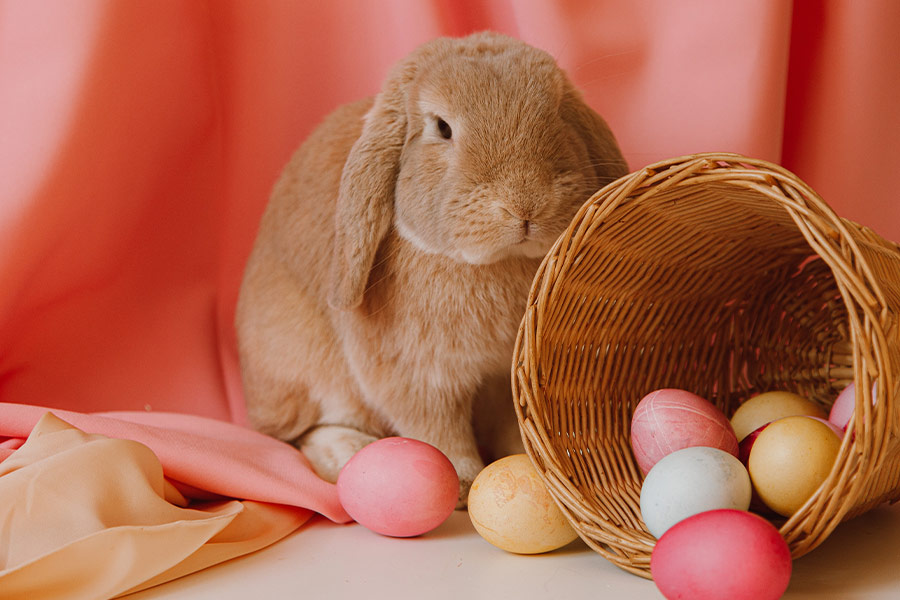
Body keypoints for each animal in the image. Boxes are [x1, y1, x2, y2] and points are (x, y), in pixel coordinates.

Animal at [235, 31, 628, 507]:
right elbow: (438, 430)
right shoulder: (419, 375)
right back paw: (348, 452)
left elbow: (511, 425)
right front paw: (461, 483)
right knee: (304, 433)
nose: (524, 204)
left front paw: (531, 464)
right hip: (304, 371)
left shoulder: (506, 379)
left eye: (556, 111)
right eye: (442, 127)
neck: (494, 262)